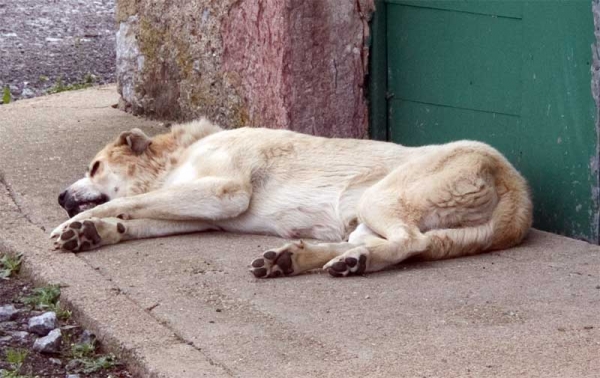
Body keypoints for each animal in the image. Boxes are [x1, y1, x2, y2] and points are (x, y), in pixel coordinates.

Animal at [50, 119, 528, 280]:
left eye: (94, 167)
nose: (59, 196)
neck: (179, 155)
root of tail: (518, 194)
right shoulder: (200, 213)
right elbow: (133, 218)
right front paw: (90, 232)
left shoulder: (224, 194)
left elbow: (122, 203)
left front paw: (73, 223)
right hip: (364, 219)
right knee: (385, 243)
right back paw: (296, 259)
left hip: (380, 198)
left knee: (410, 243)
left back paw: (349, 264)